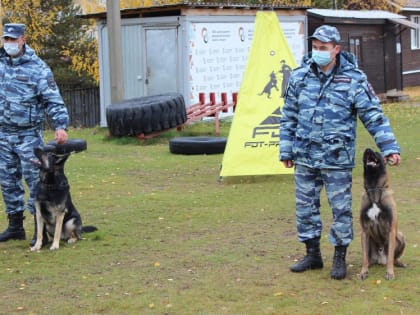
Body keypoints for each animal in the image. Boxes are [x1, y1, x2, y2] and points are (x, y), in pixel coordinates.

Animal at [358, 149, 404, 282]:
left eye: (377, 152)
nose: (367, 149)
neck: (374, 189)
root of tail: (380, 259)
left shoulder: (391, 230)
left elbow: (390, 258)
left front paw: (390, 273)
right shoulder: (364, 231)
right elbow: (364, 258)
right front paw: (363, 272)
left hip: (400, 236)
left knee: (393, 258)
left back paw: (398, 263)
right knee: (368, 259)